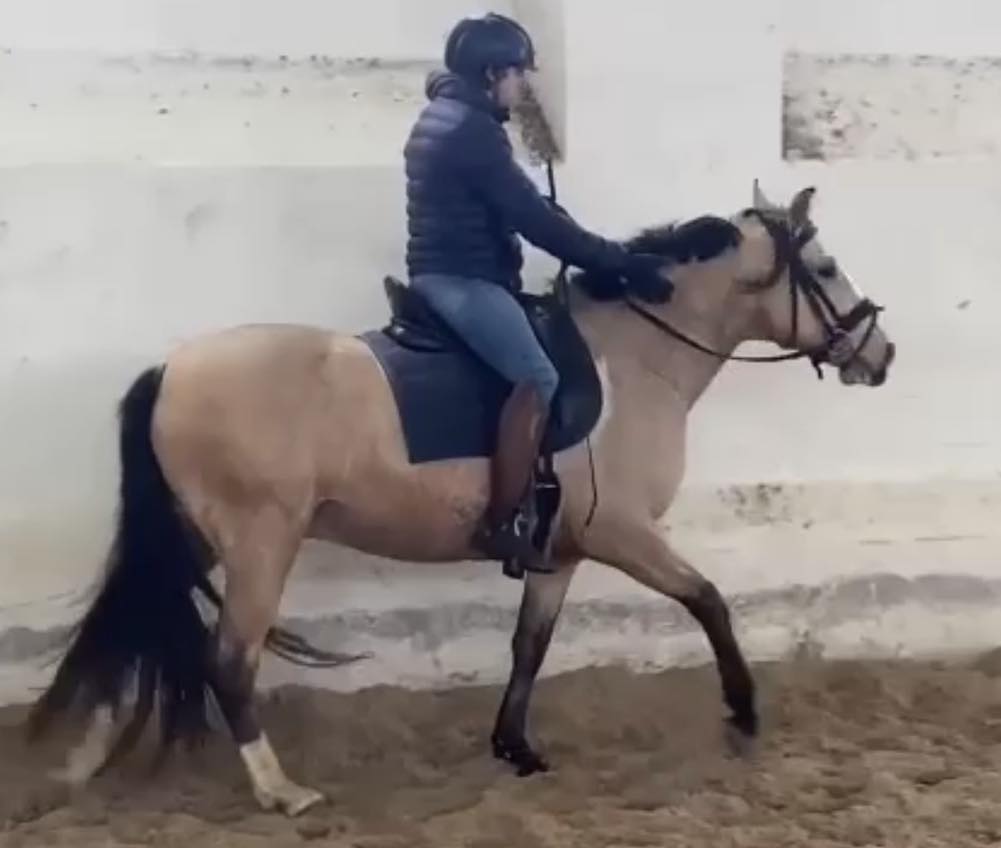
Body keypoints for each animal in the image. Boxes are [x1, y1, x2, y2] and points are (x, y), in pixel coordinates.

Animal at [25, 181, 895, 816]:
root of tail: (172, 369)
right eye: (823, 269)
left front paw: (515, 748)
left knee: (137, 620)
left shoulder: (559, 550)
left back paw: (83, 760)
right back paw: (280, 792)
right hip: (260, 545)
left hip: (199, 538)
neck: (632, 362)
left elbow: (528, 646)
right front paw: (743, 713)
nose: (878, 353)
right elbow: (708, 600)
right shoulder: (618, 533)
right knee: (227, 661)